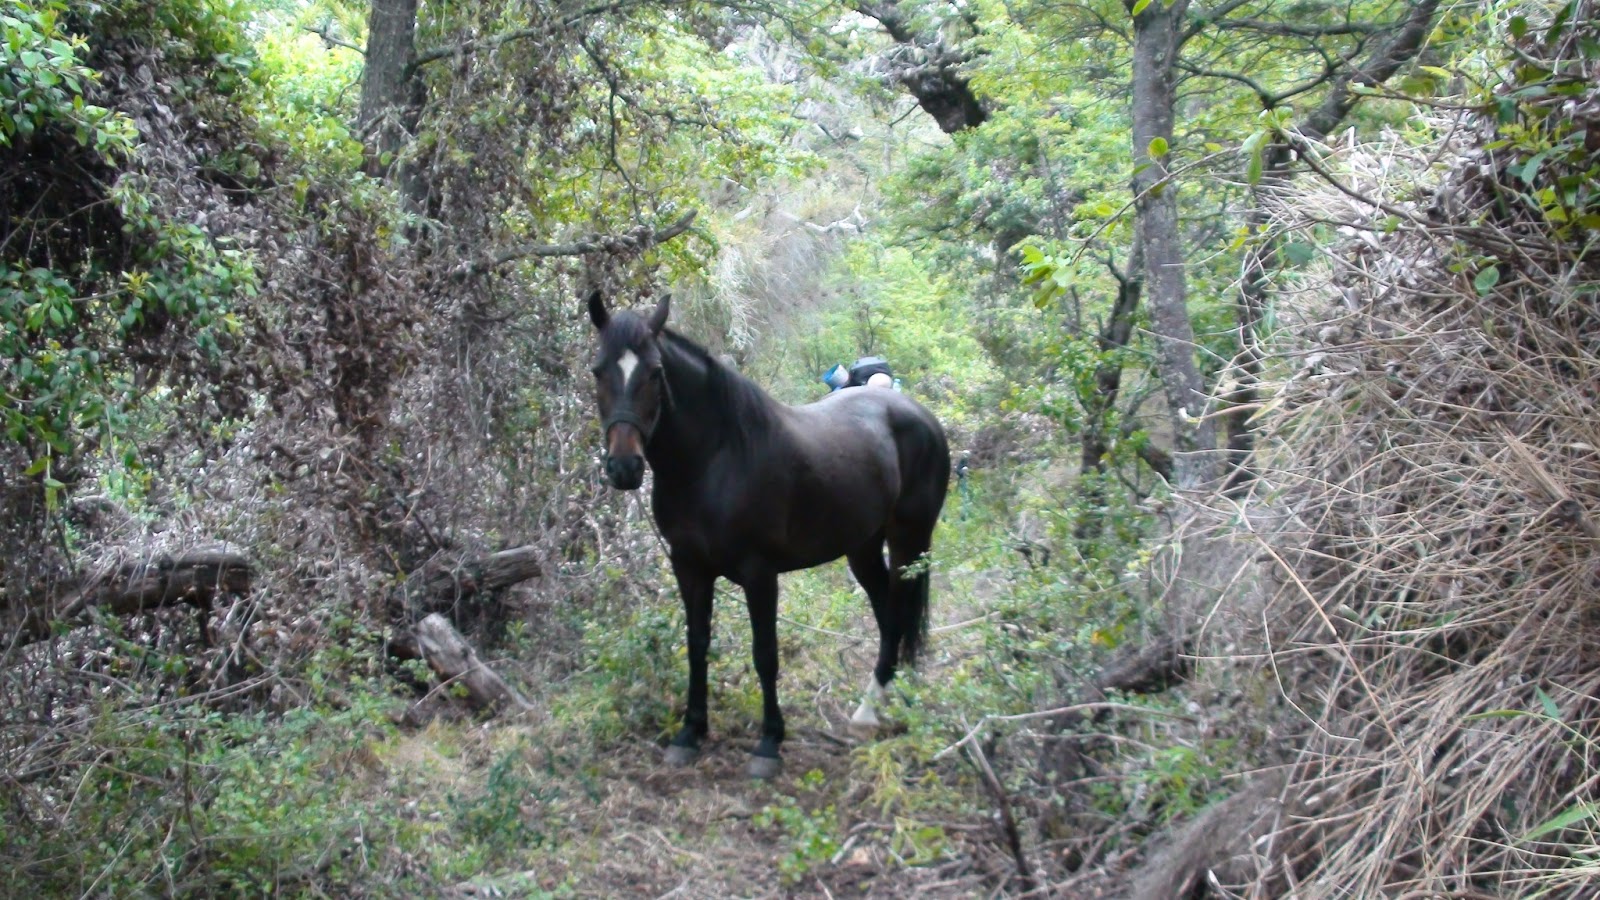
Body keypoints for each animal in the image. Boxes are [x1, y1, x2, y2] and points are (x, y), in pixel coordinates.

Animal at [584, 290, 951, 778]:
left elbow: (765, 654)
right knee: (888, 615)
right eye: (598, 370)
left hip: (910, 540)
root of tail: (920, 414)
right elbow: (697, 644)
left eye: (655, 372)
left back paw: (883, 705)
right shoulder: (689, 566)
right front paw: (690, 732)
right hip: (863, 546)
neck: (713, 461)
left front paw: (769, 743)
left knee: (901, 610)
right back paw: (874, 706)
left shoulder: (759, 574)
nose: (624, 467)